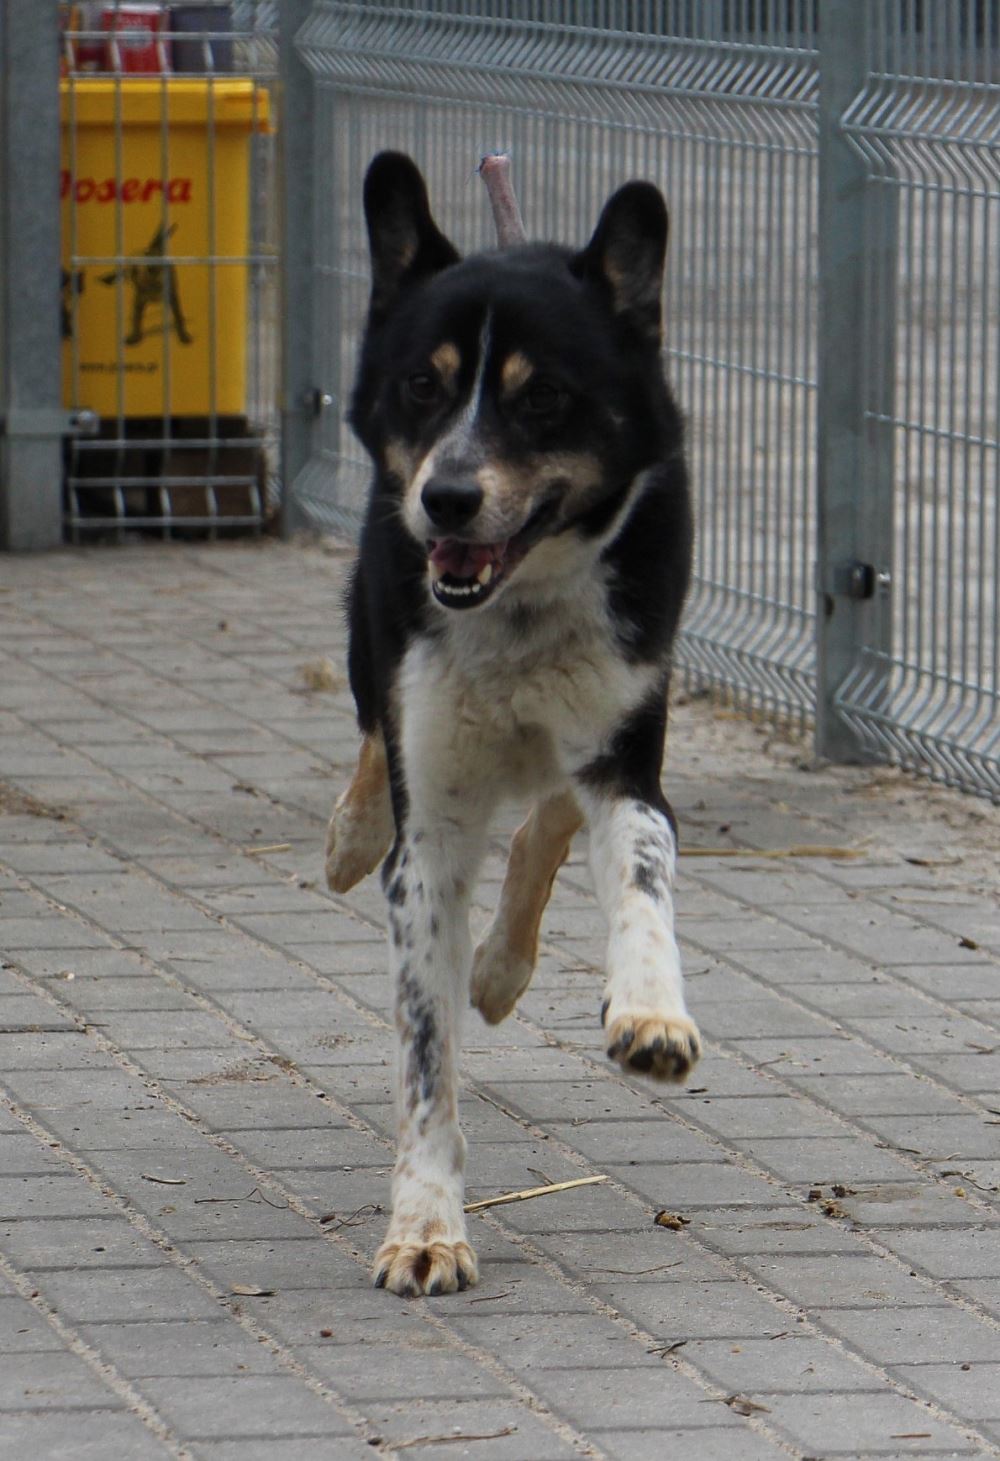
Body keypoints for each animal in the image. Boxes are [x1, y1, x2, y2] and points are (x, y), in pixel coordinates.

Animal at [326, 152, 700, 1298]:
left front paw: (650, 1014)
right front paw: (425, 1225)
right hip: (374, 632)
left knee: (547, 819)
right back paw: (351, 835)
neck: (519, 606)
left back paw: (502, 968)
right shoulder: (433, 829)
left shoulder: (627, 758)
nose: (446, 498)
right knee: (376, 742)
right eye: (424, 385)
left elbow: (640, 875)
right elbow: (426, 1056)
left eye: (544, 398)